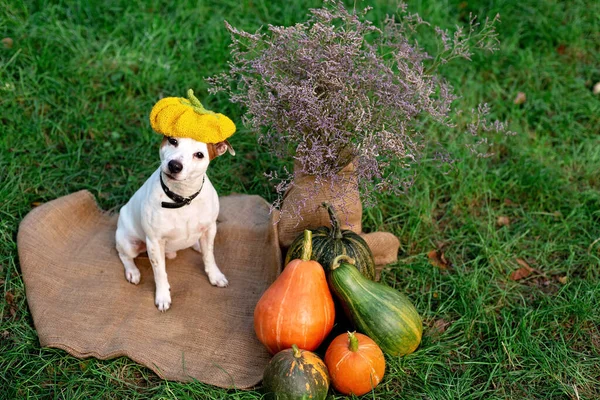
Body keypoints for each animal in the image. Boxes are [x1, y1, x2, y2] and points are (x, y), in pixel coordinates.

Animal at [115, 136, 234, 310]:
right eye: (173, 141)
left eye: (199, 154)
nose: (175, 165)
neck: (182, 198)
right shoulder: (154, 243)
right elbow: (160, 273)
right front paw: (163, 296)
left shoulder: (210, 229)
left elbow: (209, 256)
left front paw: (215, 275)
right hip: (129, 244)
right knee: (124, 255)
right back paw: (133, 272)